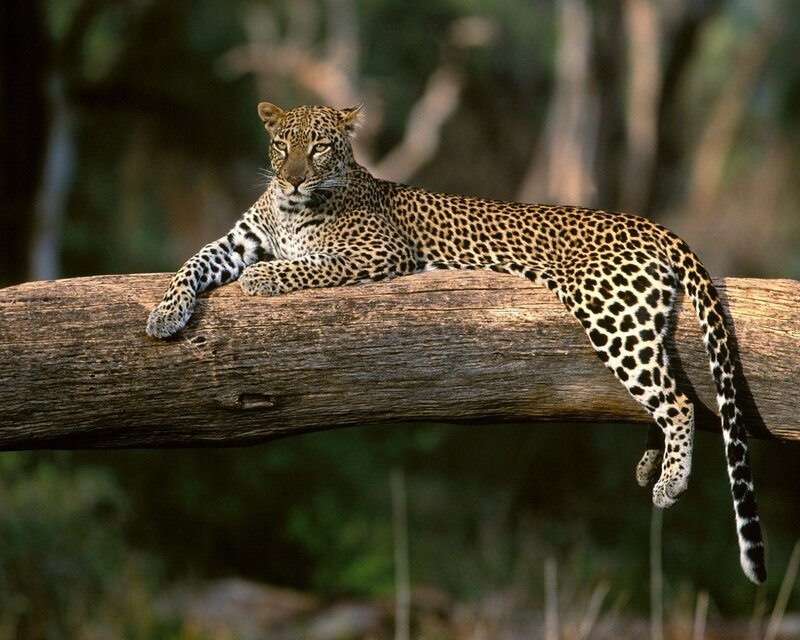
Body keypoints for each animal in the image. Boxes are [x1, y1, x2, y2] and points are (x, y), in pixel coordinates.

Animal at [147, 102, 766, 583]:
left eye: (320, 148)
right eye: (282, 145)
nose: (294, 178)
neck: (290, 207)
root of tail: (650, 224)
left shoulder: (378, 253)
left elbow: (303, 266)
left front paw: (262, 279)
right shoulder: (235, 242)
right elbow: (193, 262)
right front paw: (163, 315)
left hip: (608, 310)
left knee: (678, 399)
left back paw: (669, 483)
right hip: (637, 317)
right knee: (664, 385)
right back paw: (648, 464)